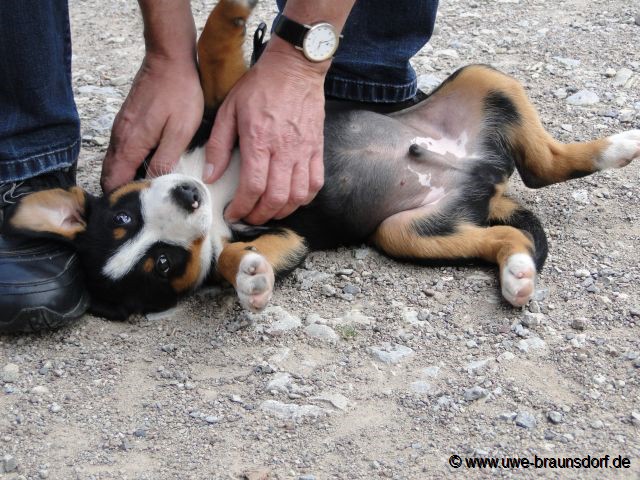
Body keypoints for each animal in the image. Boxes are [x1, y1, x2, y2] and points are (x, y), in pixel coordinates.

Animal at [2, 0, 636, 322]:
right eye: (161, 263)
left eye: (124, 215)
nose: (188, 195)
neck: (216, 194)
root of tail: (484, 181)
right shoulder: (286, 236)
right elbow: (232, 258)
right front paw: (250, 280)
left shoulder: (225, 106)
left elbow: (213, 45)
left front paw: (234, 11)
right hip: (409, 232)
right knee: (515, 226)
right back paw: (519, 276)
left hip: (483, 79)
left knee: (545, 163)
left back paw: (618, 145)